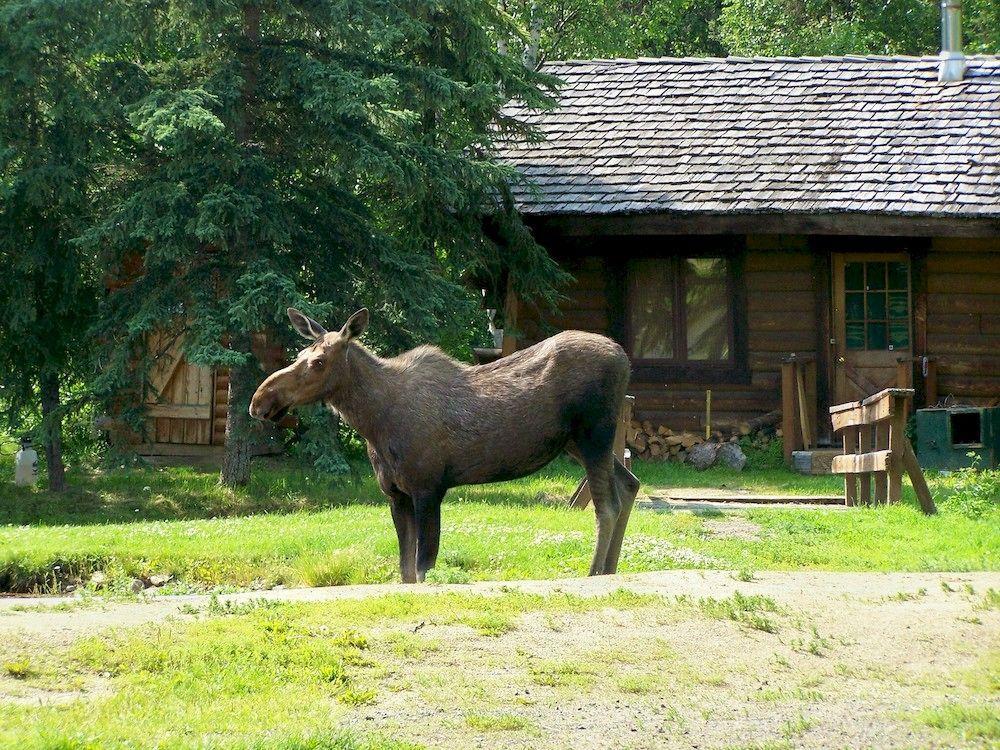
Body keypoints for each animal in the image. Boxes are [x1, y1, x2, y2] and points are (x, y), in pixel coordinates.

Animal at [250, 308, 640, 584]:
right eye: (300, 352)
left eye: (318, 361)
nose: (260, 400)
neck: (373, 422)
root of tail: (624, 357)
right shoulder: (396, 495)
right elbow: (405, 572)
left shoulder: (429, 488)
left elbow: (424, 568)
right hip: (575, 443)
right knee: (629, 485)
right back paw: (611, 569)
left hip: (594, 435)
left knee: (607, 504)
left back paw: (594, 573)